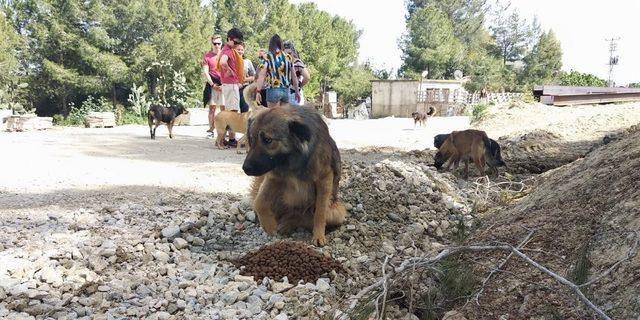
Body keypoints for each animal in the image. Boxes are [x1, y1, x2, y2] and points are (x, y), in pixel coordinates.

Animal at [242, 104, 348, 246]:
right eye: (251, 140)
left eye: (268, 140)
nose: (245, 168)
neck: (292, 160)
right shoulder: (274, 177)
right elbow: (259, 202)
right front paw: (268, 225)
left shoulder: (324, 177)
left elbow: (320, 211)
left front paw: (318, 235)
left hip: (336, 212)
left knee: (305, 218)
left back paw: (287, 225)